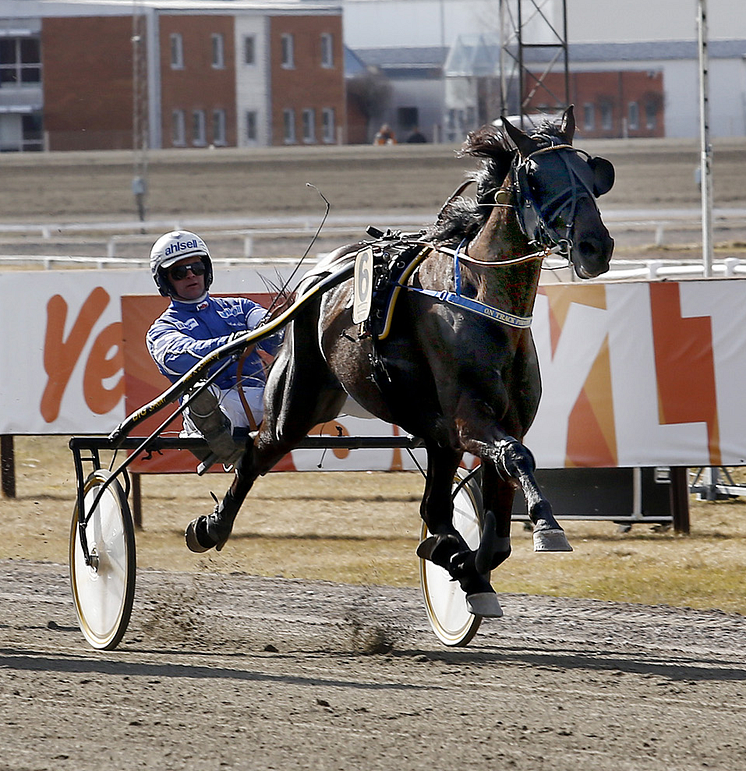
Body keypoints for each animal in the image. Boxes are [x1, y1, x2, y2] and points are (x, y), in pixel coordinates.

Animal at [183, 105, 612, 620]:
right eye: (535, 175)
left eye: (591, 172)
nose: (595, 246)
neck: (483, 302)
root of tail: (320, 274)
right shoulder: (470, 421)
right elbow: (515, 457)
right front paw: (545, 526)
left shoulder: (493, 424)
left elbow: (495, 533)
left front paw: (463, 564)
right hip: (296, 405)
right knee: (255, 453)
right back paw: (210, 526)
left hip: (433, 435)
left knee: (435, 507)